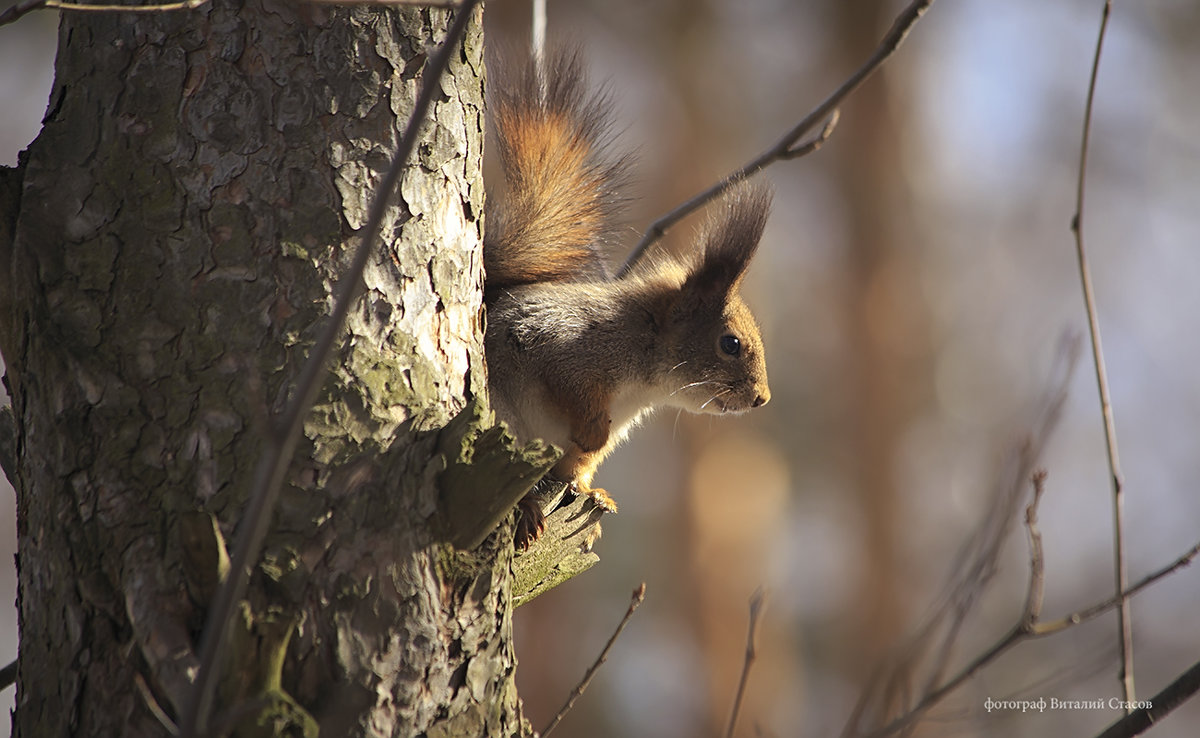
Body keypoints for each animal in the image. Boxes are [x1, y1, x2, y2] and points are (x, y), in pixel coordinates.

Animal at [482, 50, 772, 549]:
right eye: (730, 343)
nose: (762, 399)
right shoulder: (562, 343)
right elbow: (570, 388)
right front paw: (592, 434)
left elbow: (577, 466)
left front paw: (590, 491)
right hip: (503, 418)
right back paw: (525, 508)